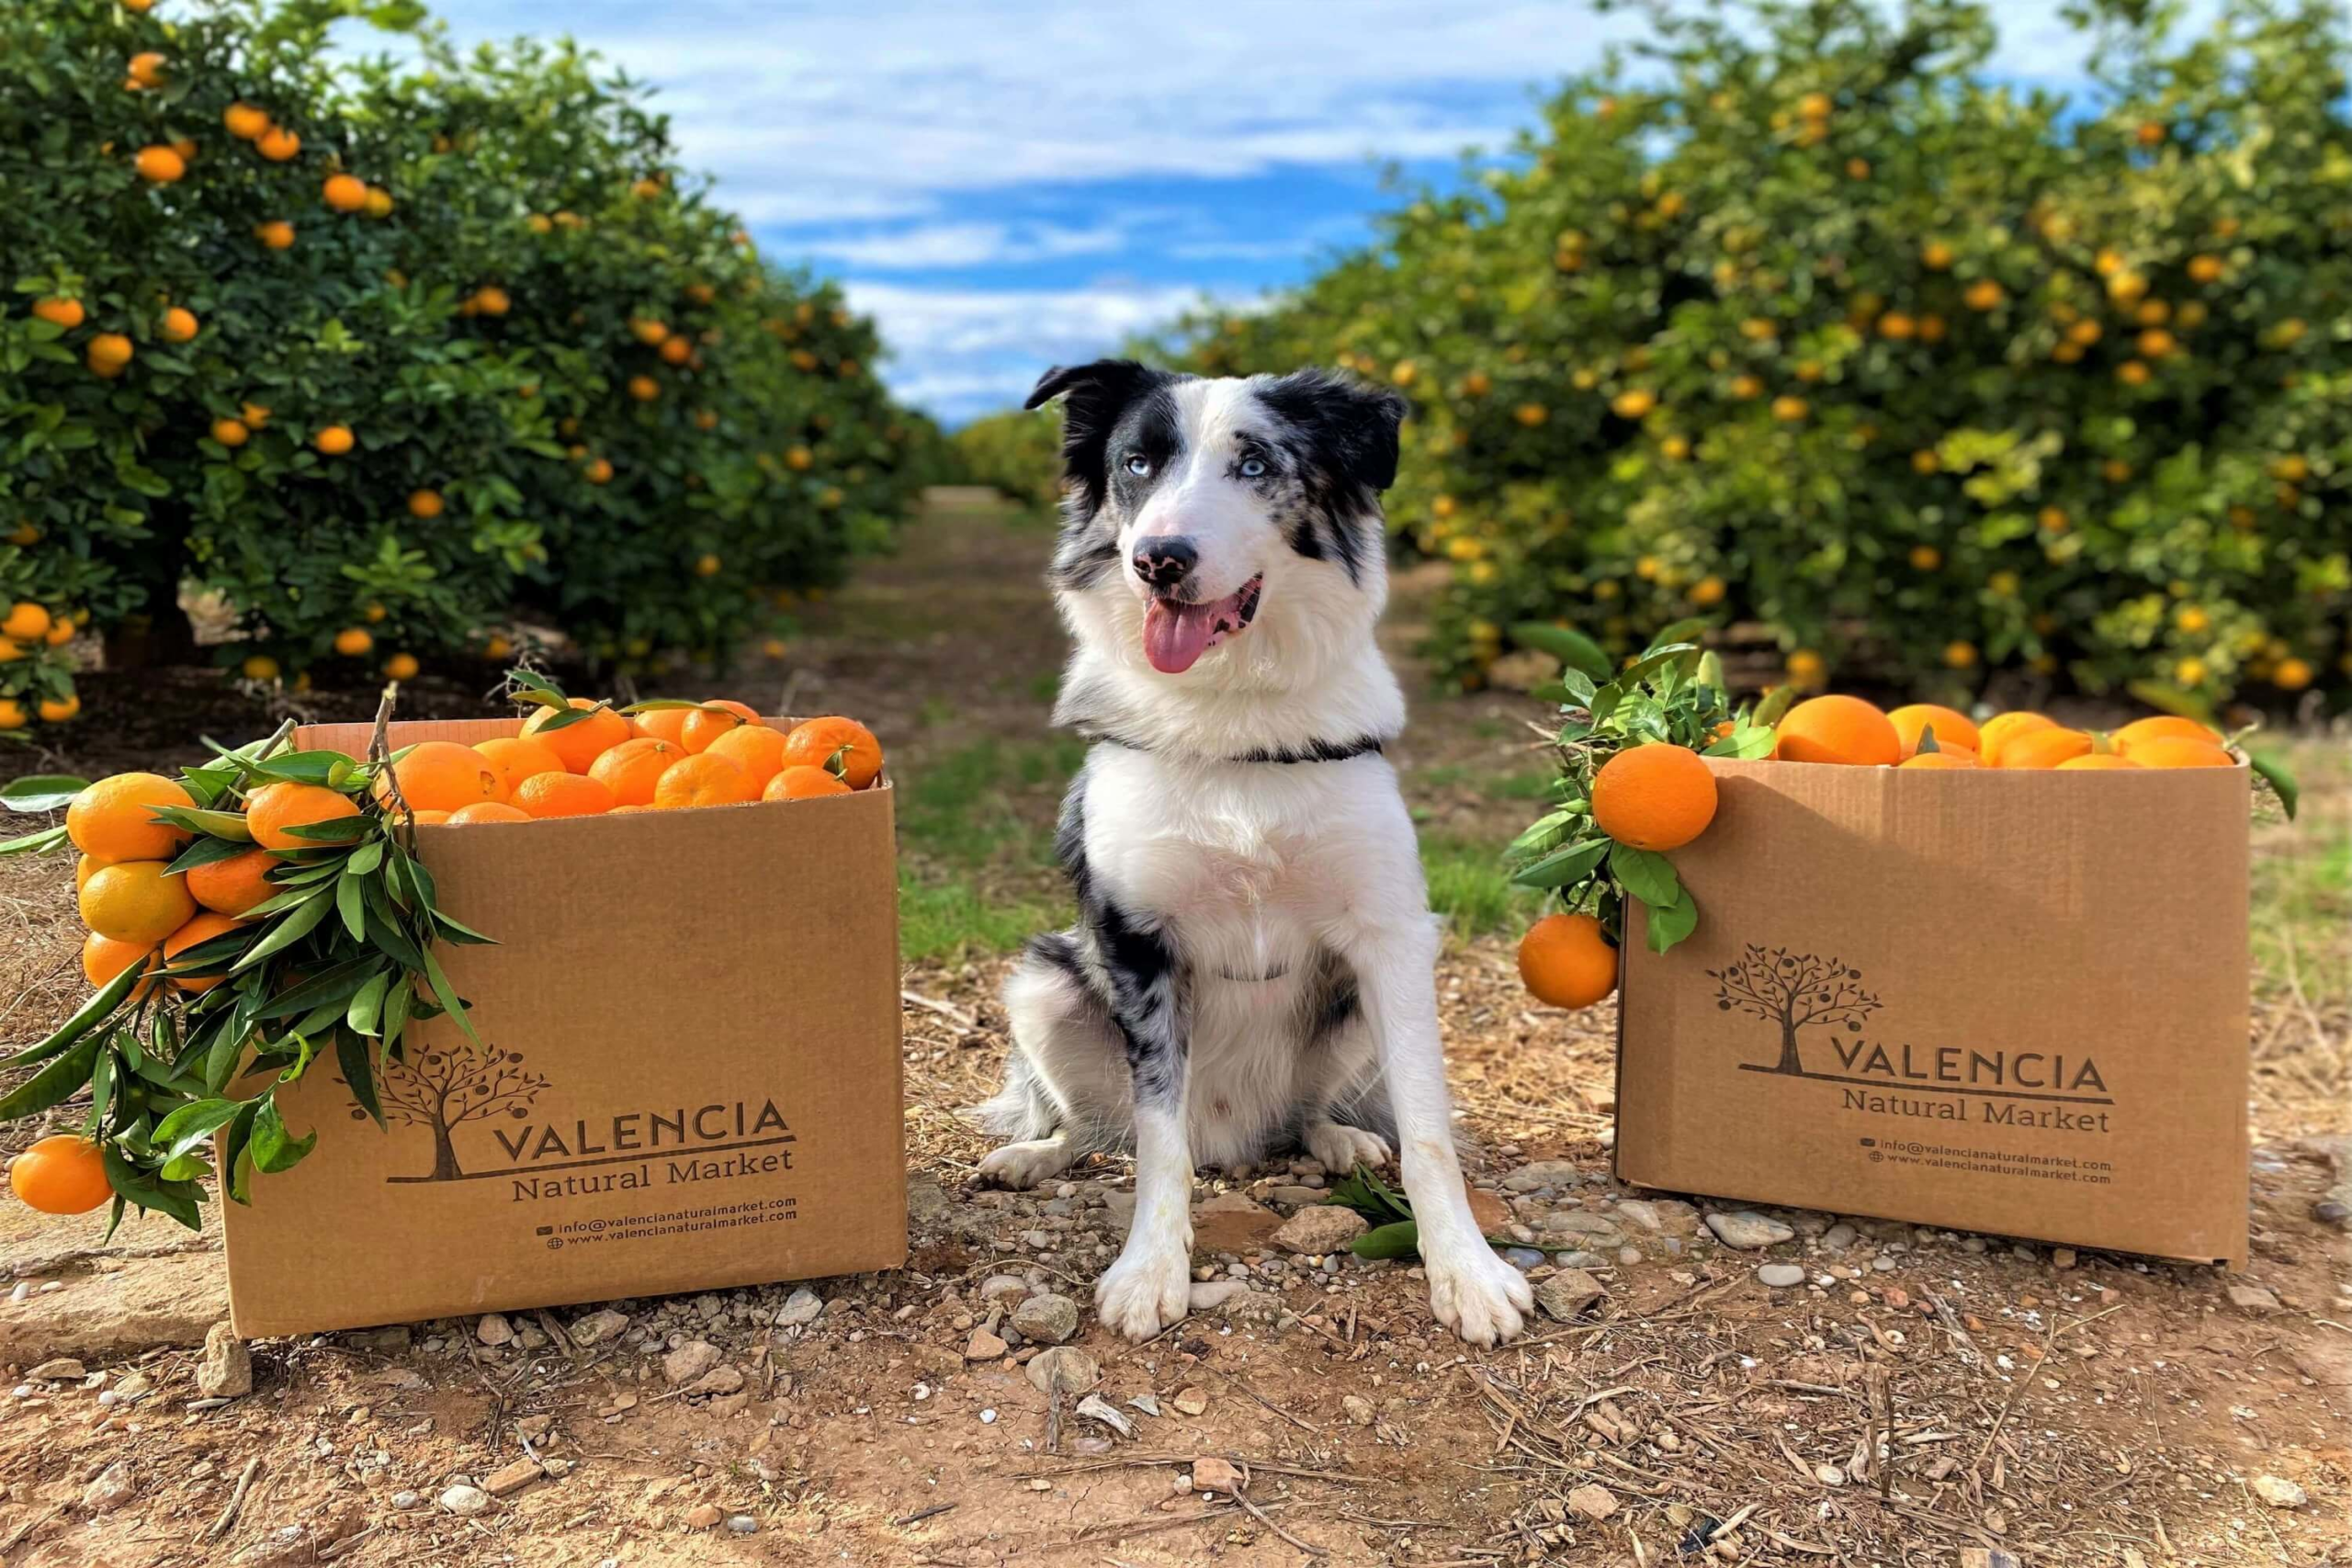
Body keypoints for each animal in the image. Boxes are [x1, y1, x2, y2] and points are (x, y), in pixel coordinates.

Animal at [964, 359, 1533, 1354]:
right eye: (1137, 463)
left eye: (1257, 463)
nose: (1159, 559)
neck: (1232, 717)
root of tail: (1236, 1138)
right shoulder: (1135, 942)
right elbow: (1157, 1141)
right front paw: (1151, 1271)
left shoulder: (1391, 937)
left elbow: (1427, 1131)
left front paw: (1467, 1272)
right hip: (1042, 982)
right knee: (1094, 1128)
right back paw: (1031, 1155)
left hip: (1349, 1008)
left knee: (1306, 1115)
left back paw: (1337, 1138)